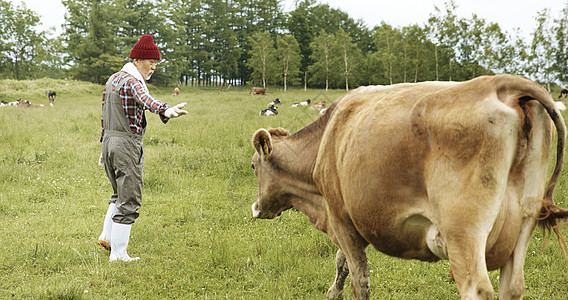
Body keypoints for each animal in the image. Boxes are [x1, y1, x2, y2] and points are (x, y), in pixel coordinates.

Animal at [250, 74, 568, 298]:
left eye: (253, 166)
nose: (255, 208)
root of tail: (502, 84)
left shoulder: (341, 217)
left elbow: (358, 278)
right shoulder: (357, 220)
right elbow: (342, 264)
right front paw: (332, 293)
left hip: (464, 232)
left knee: (476, 288)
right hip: (525, 220)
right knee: (513, 286)